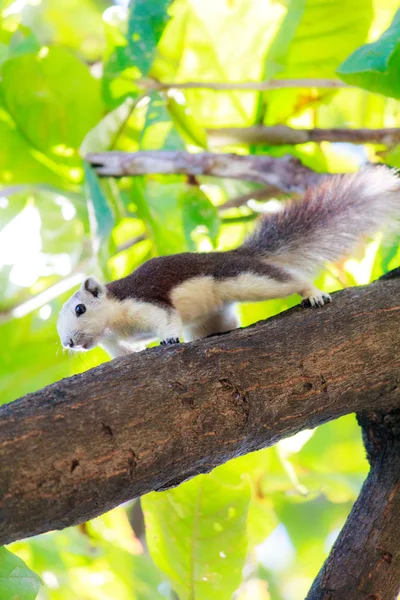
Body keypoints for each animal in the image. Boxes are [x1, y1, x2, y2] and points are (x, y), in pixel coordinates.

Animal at [57, 165, 400, 356]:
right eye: (60, 331)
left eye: (80, 308)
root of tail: (237, 253)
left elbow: (166, 319)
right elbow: (122, 354)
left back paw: (313, 294)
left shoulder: (144, 302)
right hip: (210, 317)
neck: (114, 322)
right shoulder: (113, 341)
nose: (70, 343)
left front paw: (169, 338)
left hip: (241, 277)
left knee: (287, 279)